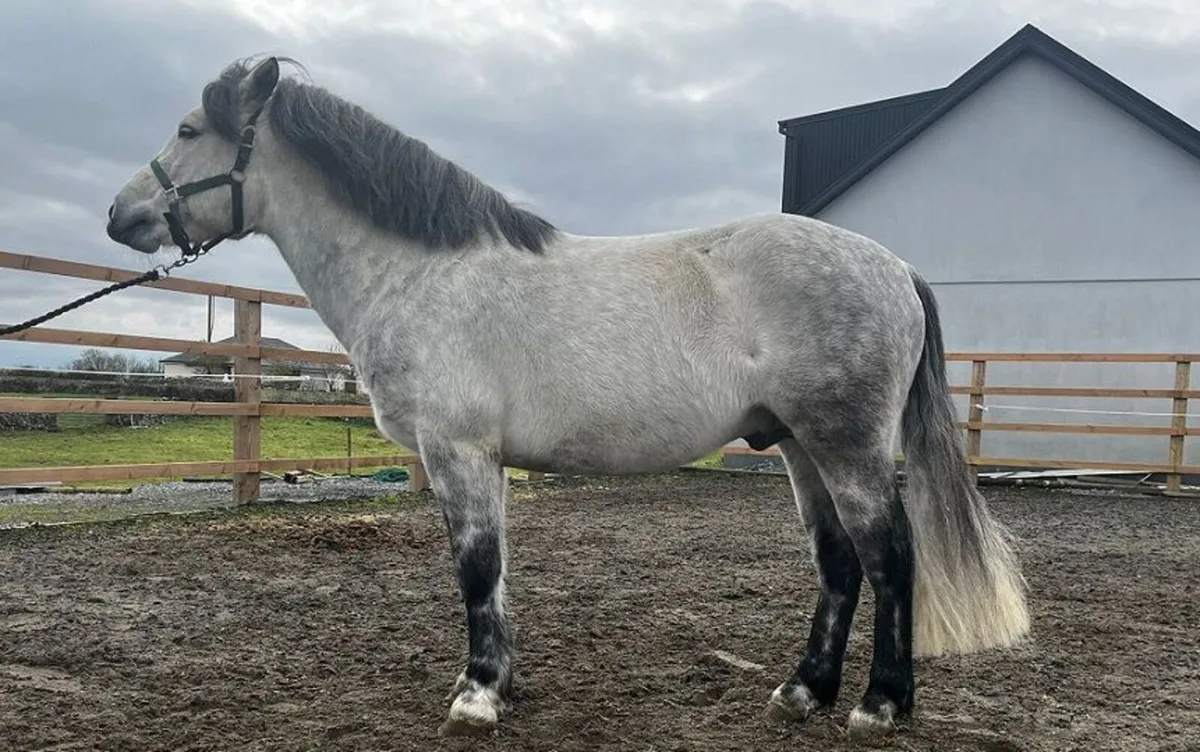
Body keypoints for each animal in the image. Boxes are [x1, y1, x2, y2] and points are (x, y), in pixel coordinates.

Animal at [105, 55, 1030, 738]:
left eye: (189, 130)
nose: (120, 215)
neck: (422, 275)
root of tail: (894, 267)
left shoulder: (457, 451)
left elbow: (476, 568)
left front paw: (476, 695)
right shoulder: (484, 460)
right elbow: (499, 571)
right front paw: (501, 681)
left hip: (847, 446)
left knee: (890, 557)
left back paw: (880, 705)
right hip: (801, 447)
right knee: (838, 564)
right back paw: (803, 692)